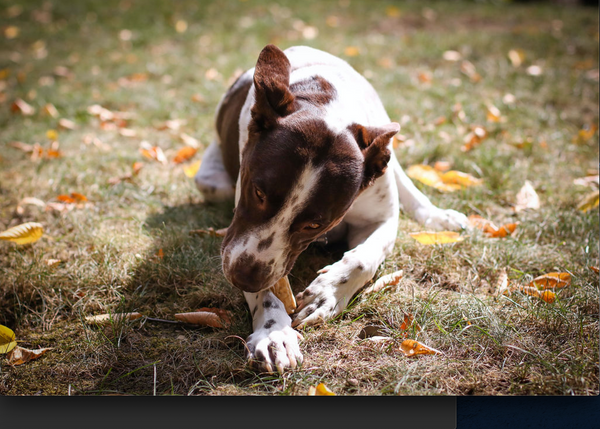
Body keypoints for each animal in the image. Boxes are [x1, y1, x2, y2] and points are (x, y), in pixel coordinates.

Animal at [197, 43, 468, 372]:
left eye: (314, 224)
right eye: (258, 192)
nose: (242, 278)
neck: (327, 105)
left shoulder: (381, 217)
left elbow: (363, 258)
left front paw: (326, 294)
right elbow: (269, 286)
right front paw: (274, 332)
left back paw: (437, 216)